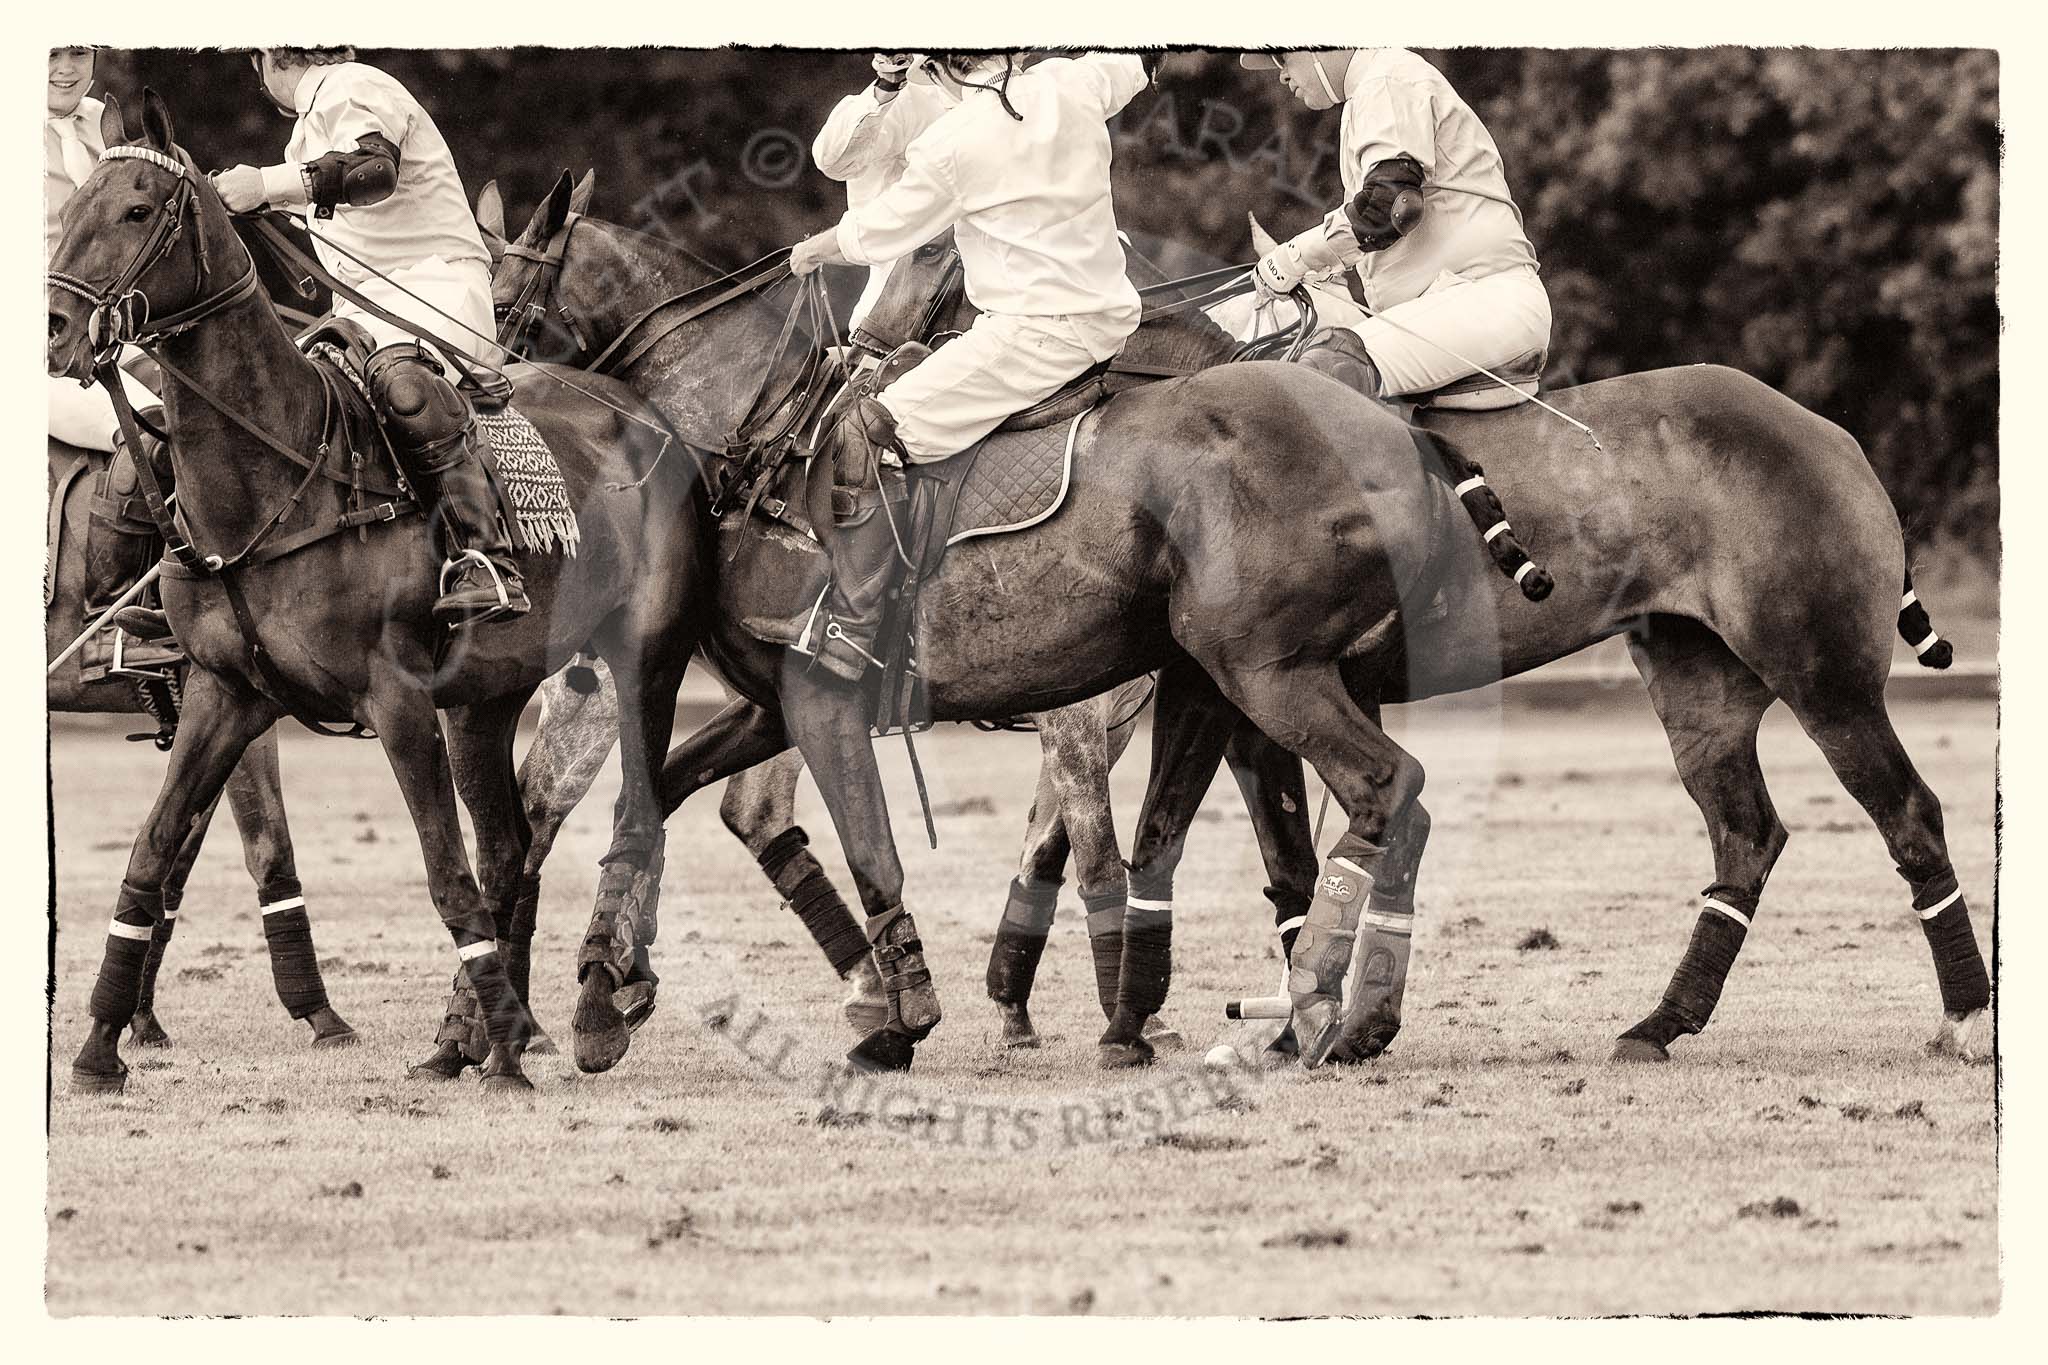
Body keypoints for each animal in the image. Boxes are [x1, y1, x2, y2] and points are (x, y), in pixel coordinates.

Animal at [46, 93, 704, 1096]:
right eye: (73, 205)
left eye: (134, 209)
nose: (52, 325)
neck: (272, 478)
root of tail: (646, 415)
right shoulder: (224, 694)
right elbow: (153, 856)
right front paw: (97, 1049)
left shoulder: (393, 697)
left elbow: (439, 871)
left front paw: (496, 1054)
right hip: (485, 697)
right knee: (510, 844)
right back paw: (476, 1036)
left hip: (643, 663)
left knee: (627, 817)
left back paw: (573, 1019)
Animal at [860, 232, 1982, 1064]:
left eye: (928, 252)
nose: (867, 360)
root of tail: (1837, 438)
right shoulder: (1220, 696)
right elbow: (1255, 857)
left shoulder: (1236, 692)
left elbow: (1235, 851)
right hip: (1699, 683)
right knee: (1745, 836)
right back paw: (1657, 1025)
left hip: (1823, 675)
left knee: (1908, 815)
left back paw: (1965, 1019)